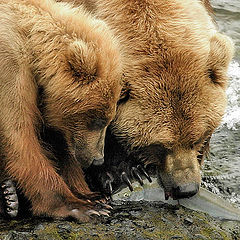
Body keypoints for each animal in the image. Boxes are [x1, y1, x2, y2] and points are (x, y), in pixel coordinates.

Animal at [0, 0, 122, 221]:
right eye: (98, 120)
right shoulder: (10, 68)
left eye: (109, 119)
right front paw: (82, 207)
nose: (98, 160)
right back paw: (8, 198)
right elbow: (18, 135)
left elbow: (59, 143)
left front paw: (92, 195)